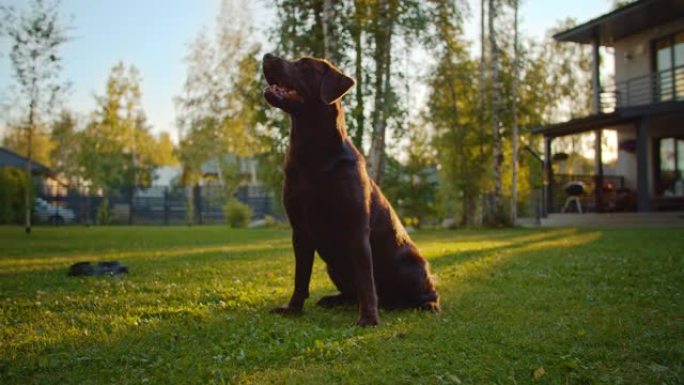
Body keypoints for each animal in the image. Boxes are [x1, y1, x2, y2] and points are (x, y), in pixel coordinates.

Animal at [262, 52, 438, 326]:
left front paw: (368, 319)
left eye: (304, 65)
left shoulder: (355, 227)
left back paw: (427, 305)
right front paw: (292, 309)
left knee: (425, 291)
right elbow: (300, 277)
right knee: (352, 292)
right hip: (333, 266)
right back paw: (333, 300)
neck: (313, 155)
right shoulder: (299, 230)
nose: (267, 55)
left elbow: (366, 280)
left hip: (411, 265)